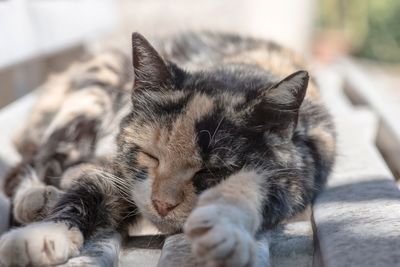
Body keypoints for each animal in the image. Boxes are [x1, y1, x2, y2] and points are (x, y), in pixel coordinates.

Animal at [0, 32, 336, 266]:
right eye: (150, 155)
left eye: (212, 171)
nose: (162, 204)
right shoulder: (121, 170)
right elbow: (90, 188)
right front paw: (44, 235)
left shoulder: (296, 175)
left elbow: (250, 184)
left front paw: (221, 229)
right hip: (89, 98)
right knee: (40, 159)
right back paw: (37, 197)